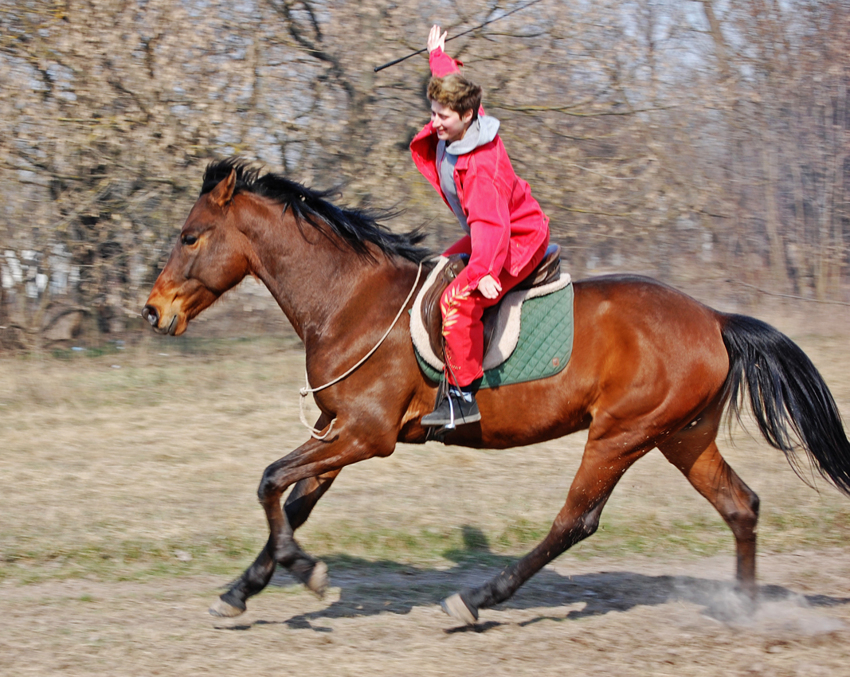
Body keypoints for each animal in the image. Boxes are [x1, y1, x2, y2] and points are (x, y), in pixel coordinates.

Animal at [142, 157, 848, 624]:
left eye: (189, 237)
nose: (153, 311)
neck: (348, 301)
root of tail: (714, 319)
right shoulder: (338, 430)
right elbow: (292, 503)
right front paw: (243, 589)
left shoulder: (366, 435)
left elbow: (269, 483)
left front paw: (307, 574)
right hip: (682, 436)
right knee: (740, 506)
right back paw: (748, 611)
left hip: (620, 434)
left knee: (575, 521)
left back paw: (477, 597)